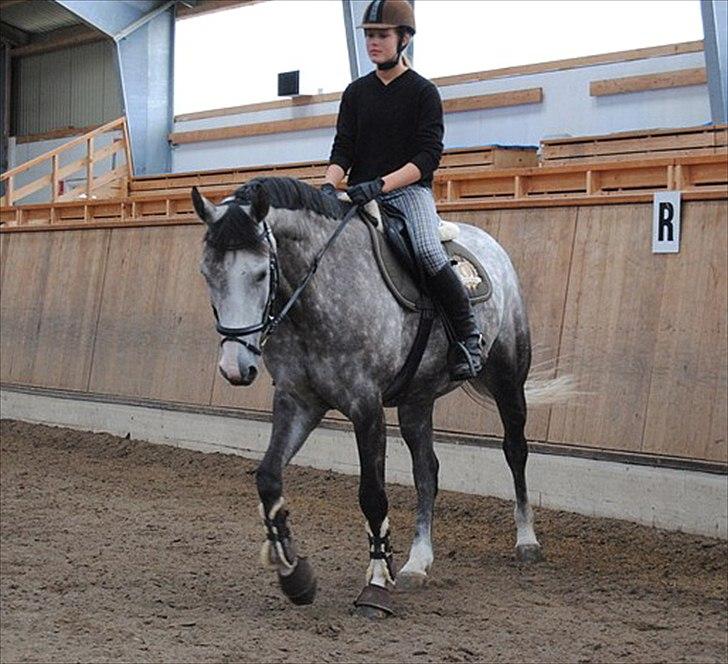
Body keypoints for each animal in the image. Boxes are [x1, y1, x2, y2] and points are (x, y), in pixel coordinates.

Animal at [191, 176, 548, 616]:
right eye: (207, 272)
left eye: (260, 273)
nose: (234, 368)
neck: (317, 293)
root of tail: (490, 244)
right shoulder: (298, 402)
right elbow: (269, 477)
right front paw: (295, 576)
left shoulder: (366, 406)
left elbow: (372, 496)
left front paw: (376, 584)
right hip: (417, 399)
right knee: (426, 471)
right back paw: (417, 563)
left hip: (508, 380)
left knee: (515, 449)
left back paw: (526, 541)